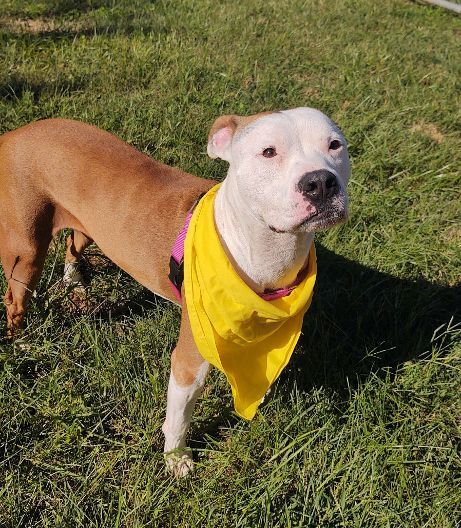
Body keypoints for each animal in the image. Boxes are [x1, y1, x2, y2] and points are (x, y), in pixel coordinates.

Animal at [0, 107, 348, 474]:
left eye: (335, 145)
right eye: (268, 151)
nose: (320, 182)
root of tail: (16, 134)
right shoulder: (189, 360)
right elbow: (179, 416)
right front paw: (176, 458)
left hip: (89, 225)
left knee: (72, 243)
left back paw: (74, 281)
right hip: (26, 249)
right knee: (15, 299)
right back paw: (22, 343)